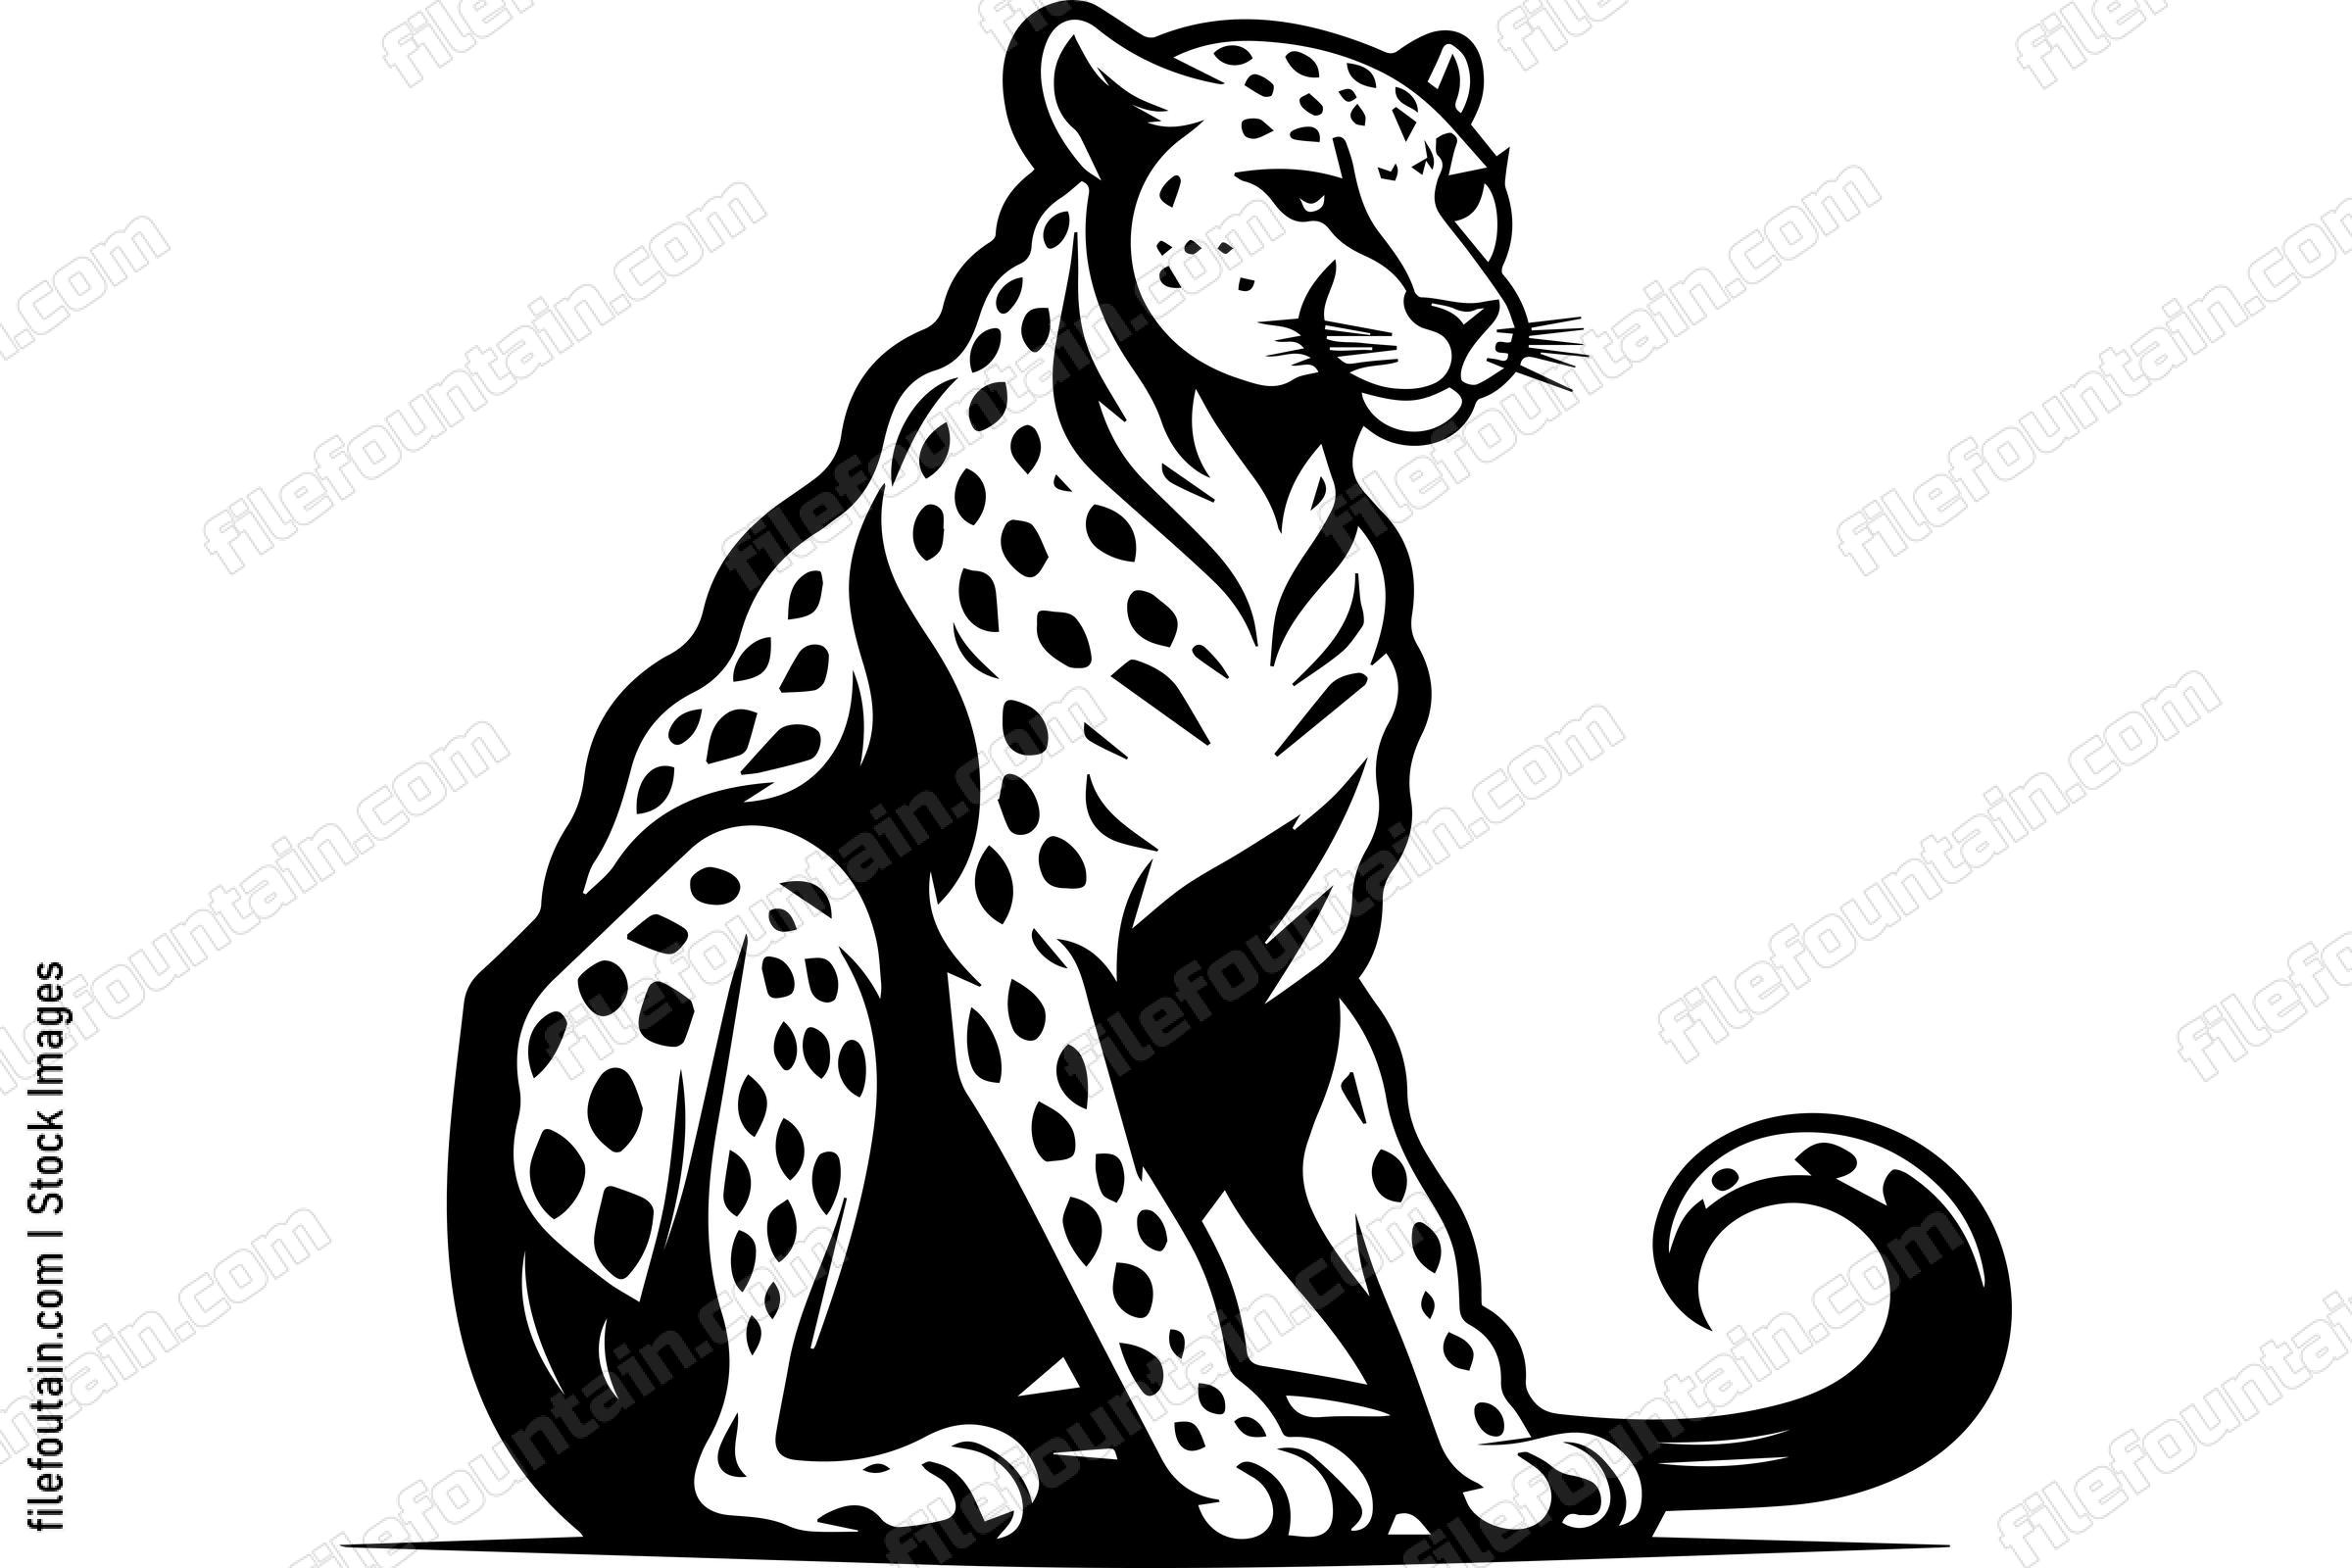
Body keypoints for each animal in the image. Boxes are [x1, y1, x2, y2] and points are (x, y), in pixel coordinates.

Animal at [446, 8, 2012, 1559]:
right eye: (1308, 195)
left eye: (1462, 190)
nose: (1464, 317)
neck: (1260, 490)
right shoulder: (1020, 949)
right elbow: (1126, 1228)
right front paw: (1245, 1459)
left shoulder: (1297, 965)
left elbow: (1401, 1229)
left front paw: (1494, 1454)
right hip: (761, 917)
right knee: (720, 1430)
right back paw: (899, 1477)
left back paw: (1086, 1450)